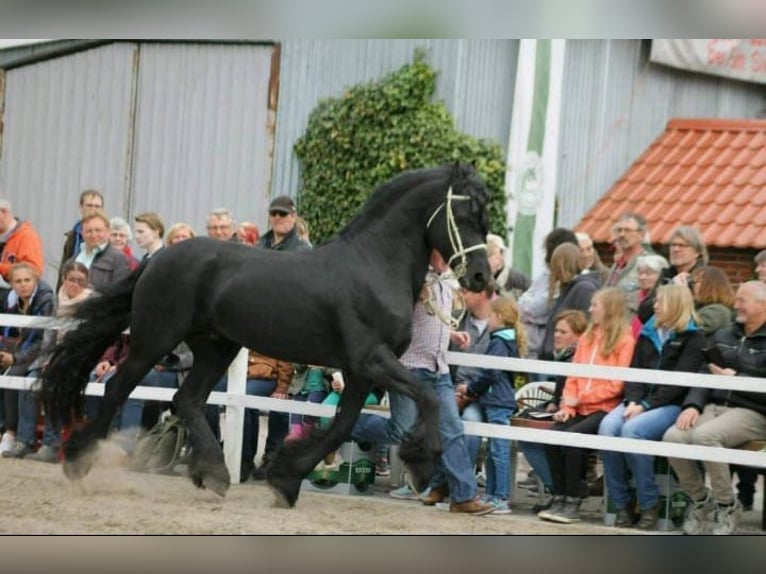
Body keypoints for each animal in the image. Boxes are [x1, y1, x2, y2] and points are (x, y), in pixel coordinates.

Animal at [43, 162, 492, 508]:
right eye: (467, 215)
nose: (481, 277)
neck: (373, 267)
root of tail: (158, 259)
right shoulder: (371, 359)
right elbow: (427, 396)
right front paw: (422, 464)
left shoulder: (360, 371)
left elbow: (343, 425)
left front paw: (285, 479)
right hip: (155, 339)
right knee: (120, 387)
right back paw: (78, 461)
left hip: (217, 347)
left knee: (185, 398)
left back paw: (214, 475)